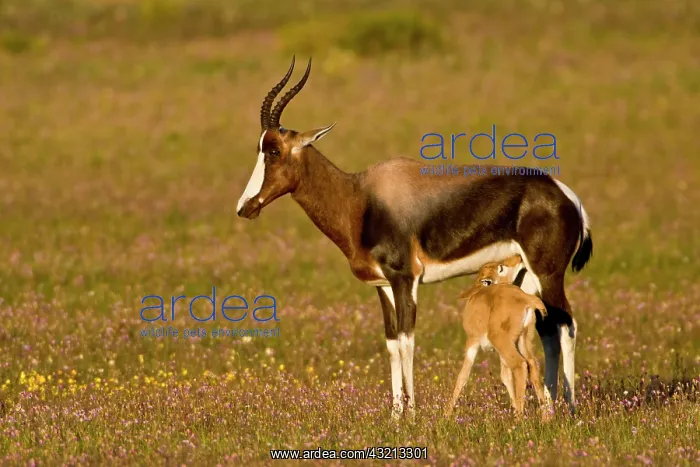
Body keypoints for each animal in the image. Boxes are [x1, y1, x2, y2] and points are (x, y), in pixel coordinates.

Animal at [444, 255, 550, 419]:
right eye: (500, 267)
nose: (519, 257)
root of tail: (525, 298)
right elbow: (505, 376)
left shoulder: (472, 341)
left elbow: (463, 376)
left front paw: (446, 415)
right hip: (522, 340)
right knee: (532, 364)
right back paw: (545, 418)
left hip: (502, 341)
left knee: (520, 365)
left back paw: (519, 419)